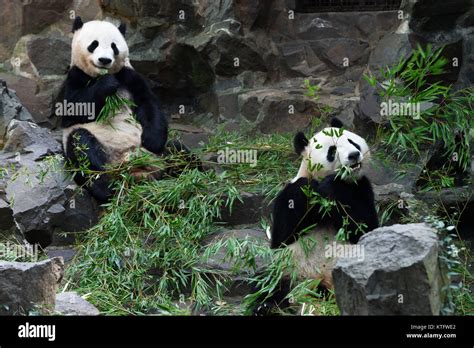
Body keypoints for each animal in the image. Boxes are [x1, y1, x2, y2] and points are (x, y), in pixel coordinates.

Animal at [62, 17, 187, 203]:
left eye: (114, 46)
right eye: (94, 44)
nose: (104, 60)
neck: (99, 74)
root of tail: (133, 171)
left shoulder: (128, 76)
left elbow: (148, 103)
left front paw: (152, 140)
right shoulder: (75, 77)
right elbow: (72, 110)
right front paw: (107, 84)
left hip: (158, 156)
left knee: (178, 150)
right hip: (100, 154)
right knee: (82, 147)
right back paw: (106, 189)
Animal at [254, 118, 380, 314]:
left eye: (352, 142)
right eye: (332, 151)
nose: (354, 155)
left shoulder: (361, 187)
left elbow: (365, 228)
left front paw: (334, 186)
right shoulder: (288, 197)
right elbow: (281, 238)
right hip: (288, 269)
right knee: (268, 282)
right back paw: (266, 307)